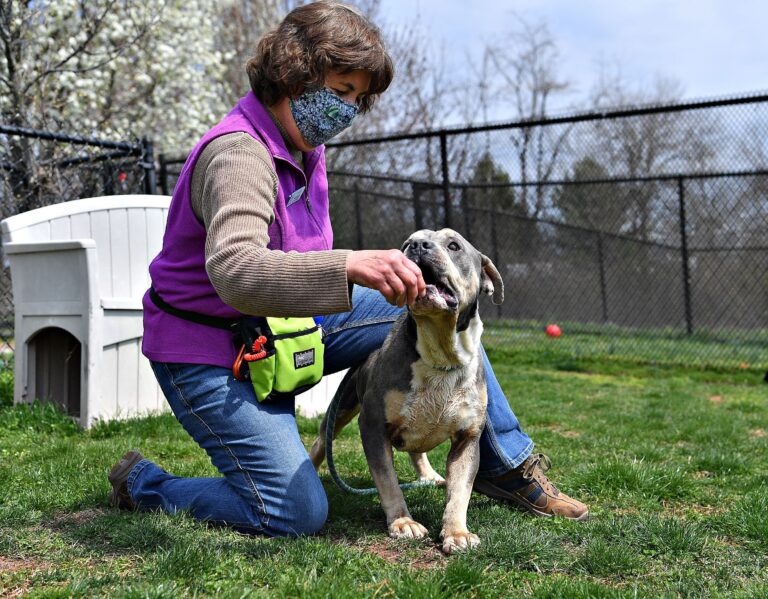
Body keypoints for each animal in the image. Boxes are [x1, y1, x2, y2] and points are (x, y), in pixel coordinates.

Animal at [308, 229, 508, 552]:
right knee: (319, 444)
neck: (441, 353)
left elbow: (460, 492)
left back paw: (429, 476)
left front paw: (457, 532)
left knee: (419, 452)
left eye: (454, 245)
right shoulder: (373, 425)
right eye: (406, 244)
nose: (417, 245)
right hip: (341, 408)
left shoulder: (467, 438)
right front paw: (403, 522)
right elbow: (387, 480)